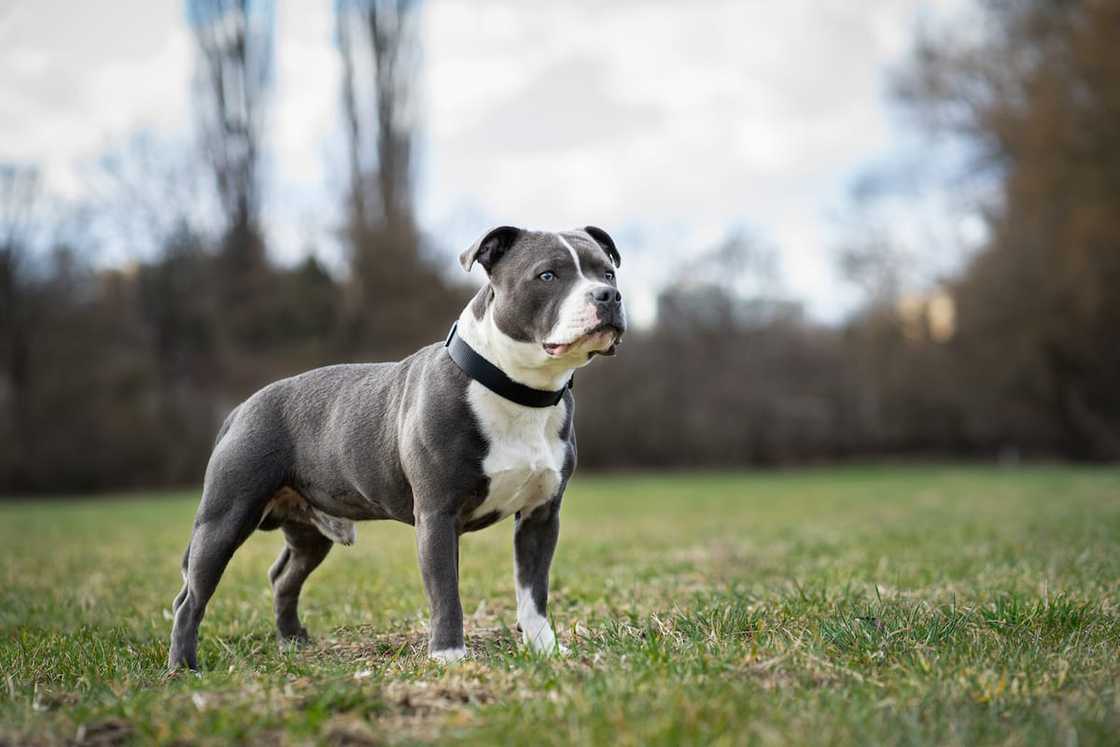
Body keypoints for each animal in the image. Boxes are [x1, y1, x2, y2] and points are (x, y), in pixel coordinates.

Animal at [166, 225, 627, 667]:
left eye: (607, 272)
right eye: (547, 275)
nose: (609, 295)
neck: (517, 390)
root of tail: (241, 408)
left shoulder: (540, 516)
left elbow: (534, 593)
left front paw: (545, 650)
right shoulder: (437, 515)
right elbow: (446, 594)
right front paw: (449, 657)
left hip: (309, 532)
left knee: (283, 577)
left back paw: (293, 642)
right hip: (224, 519)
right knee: (191, 597)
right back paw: (184, 666)